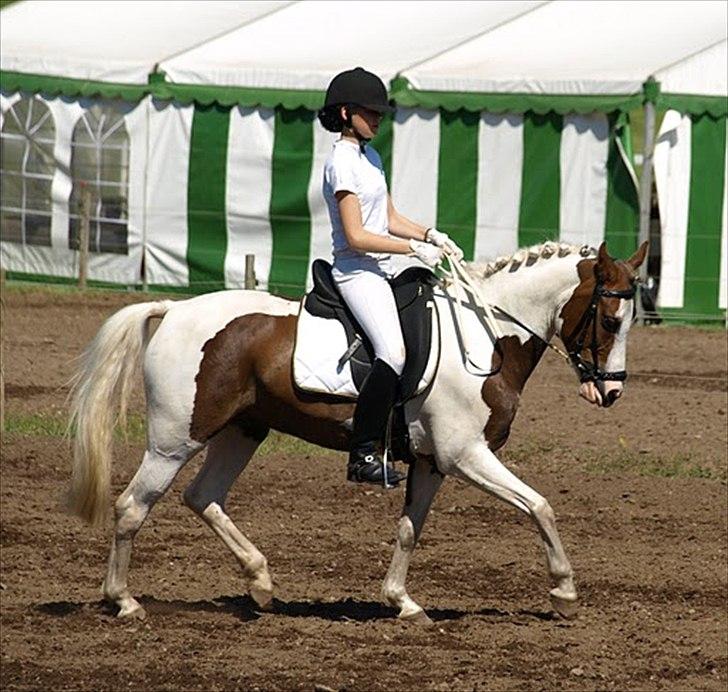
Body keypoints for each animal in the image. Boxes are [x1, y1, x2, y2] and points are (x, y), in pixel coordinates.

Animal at [68, 240, 647, 624]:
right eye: (611, 321)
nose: (612, 392)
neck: (487, 336)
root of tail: (174, 309)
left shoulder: (433, 462)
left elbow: (411, 528)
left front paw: (402, 602)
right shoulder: (466, 455)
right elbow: (540, 506)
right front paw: (564, 592)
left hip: (243, 431)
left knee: (203, 496)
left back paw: (260, 581)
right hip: (174, 439)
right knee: (132, 507)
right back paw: (124, 601)